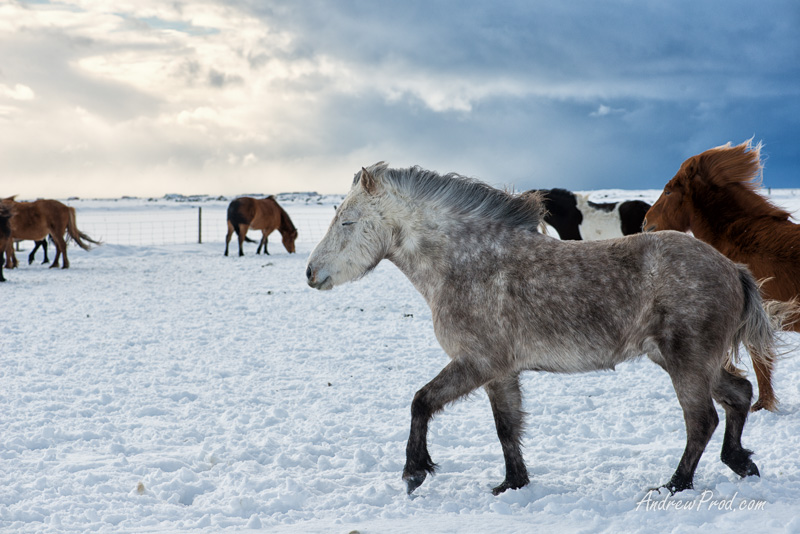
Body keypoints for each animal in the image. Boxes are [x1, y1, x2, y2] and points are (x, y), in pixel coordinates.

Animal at [306, 162, 780, 498]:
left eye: (347, 221)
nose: (311, 273)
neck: (467, 262)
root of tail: (733, 269)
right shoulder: (499, 373)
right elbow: (506, 427)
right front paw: (512, 483)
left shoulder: (476, 363)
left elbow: (421, 402)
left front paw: (414, 472)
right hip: (687, 361)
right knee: (739, 395)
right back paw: (741, 463)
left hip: (686, 362)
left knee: (701, 420)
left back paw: (675, 485)